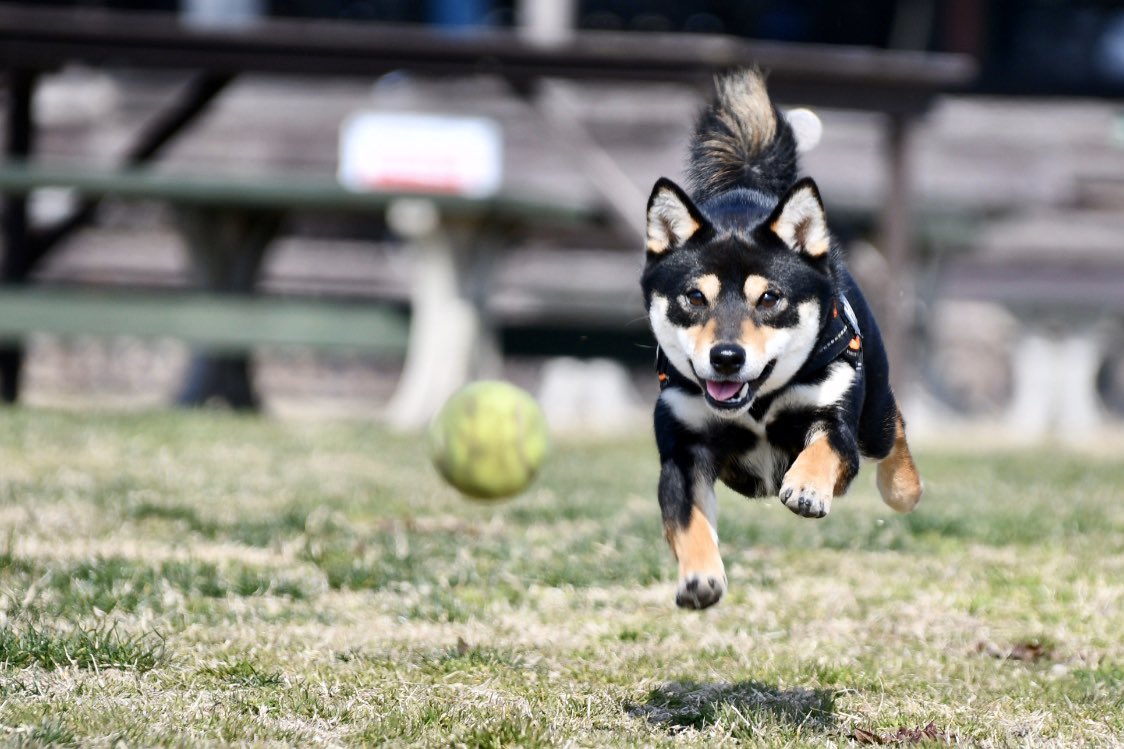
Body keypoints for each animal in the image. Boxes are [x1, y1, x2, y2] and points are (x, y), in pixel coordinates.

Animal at [642, 68, 921, 607]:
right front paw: (699, 576)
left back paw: (904, 488)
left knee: (892, 426)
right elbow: (687, 521)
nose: (726, 357)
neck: (755, 404)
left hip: (873, 407)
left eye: (770, 298)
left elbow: (825, 449)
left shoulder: (833, 414)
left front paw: (808, 488)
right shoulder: (683, 448)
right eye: (694, 297)